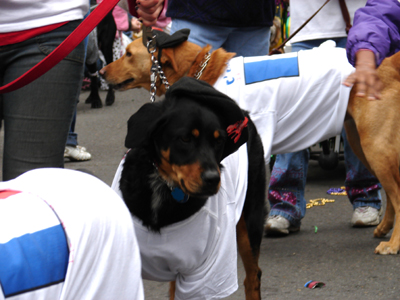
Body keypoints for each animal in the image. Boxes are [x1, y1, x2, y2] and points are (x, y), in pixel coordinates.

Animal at [111, 78, 266, 300]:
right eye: (185, 138)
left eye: (219, 141)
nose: (213, 179)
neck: (164, 185)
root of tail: (245, 114)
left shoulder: (202, 276)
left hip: (249, 219)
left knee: (253, 276)